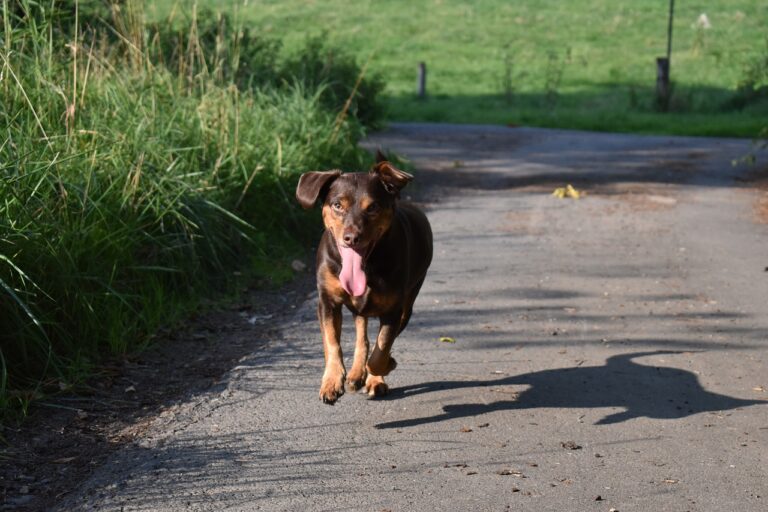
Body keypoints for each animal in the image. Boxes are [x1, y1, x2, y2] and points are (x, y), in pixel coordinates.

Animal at [296, 152, 432, 404]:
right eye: (337, 205)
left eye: (374, 207)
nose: (351, 237)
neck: (367, 266)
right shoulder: (327, 302)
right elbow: (332, 342)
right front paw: (332, 381)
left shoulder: (393, 309)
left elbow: (382, 349)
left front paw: (382, 369)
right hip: (360, 307)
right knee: (362, 335)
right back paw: (356, 373)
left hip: (408, 302)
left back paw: (372, 379)